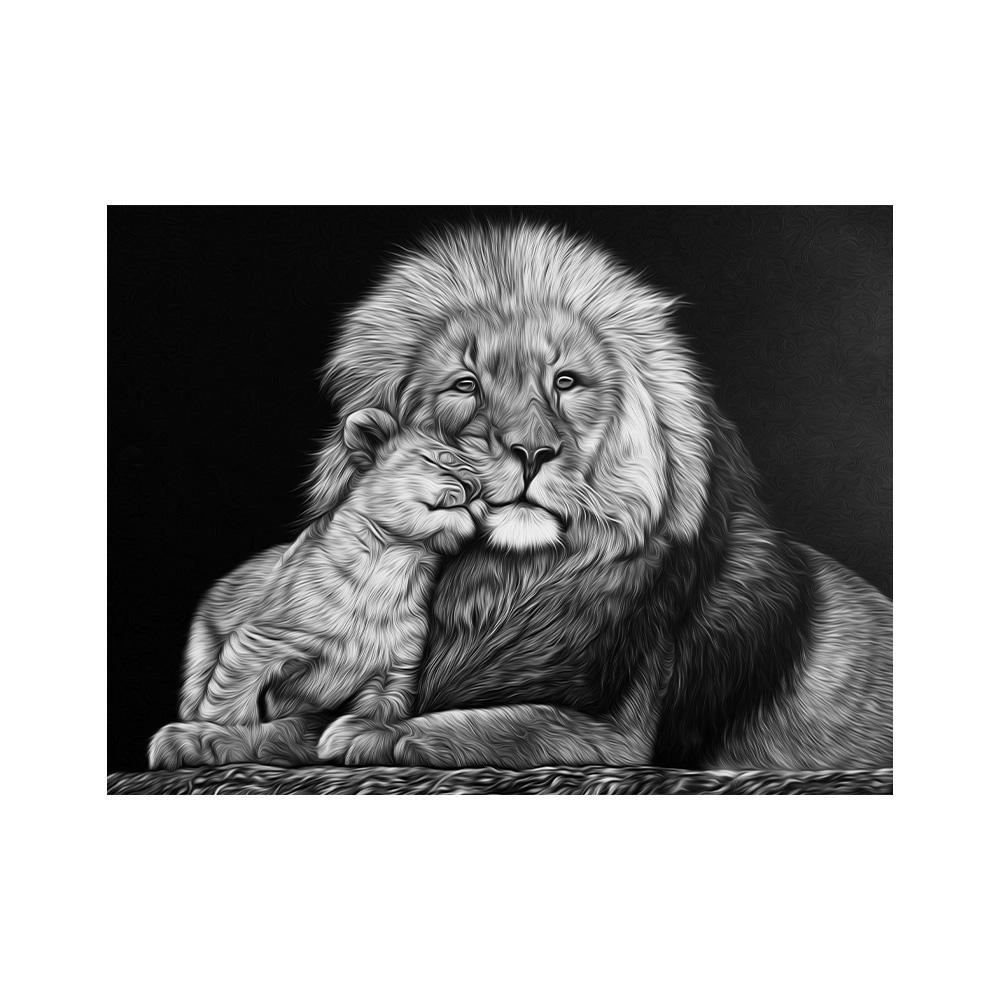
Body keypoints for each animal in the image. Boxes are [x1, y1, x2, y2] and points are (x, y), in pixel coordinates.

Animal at [147, 410, 483, 769]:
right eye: (438, 459)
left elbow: (376, 714)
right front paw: (207, 737)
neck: (397, 566)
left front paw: (358, 736)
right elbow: (230, 704)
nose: (476, 487)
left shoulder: (393, 672)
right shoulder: (258, 644)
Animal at [304, 222, 892, 770]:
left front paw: (373, 732)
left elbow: (503, 721)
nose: (532, 451)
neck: (504, 583)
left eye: (566, 381)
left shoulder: (621, 735)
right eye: (465, 385)